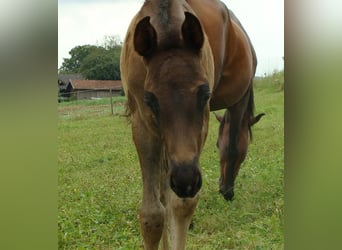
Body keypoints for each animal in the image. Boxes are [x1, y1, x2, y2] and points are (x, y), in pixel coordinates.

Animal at [121, 0, 258, 248]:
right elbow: (152, 214)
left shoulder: (203, 123)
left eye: (205, 94)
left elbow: (181, 204)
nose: (185, 181)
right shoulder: (142, 124)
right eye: (149, 100)